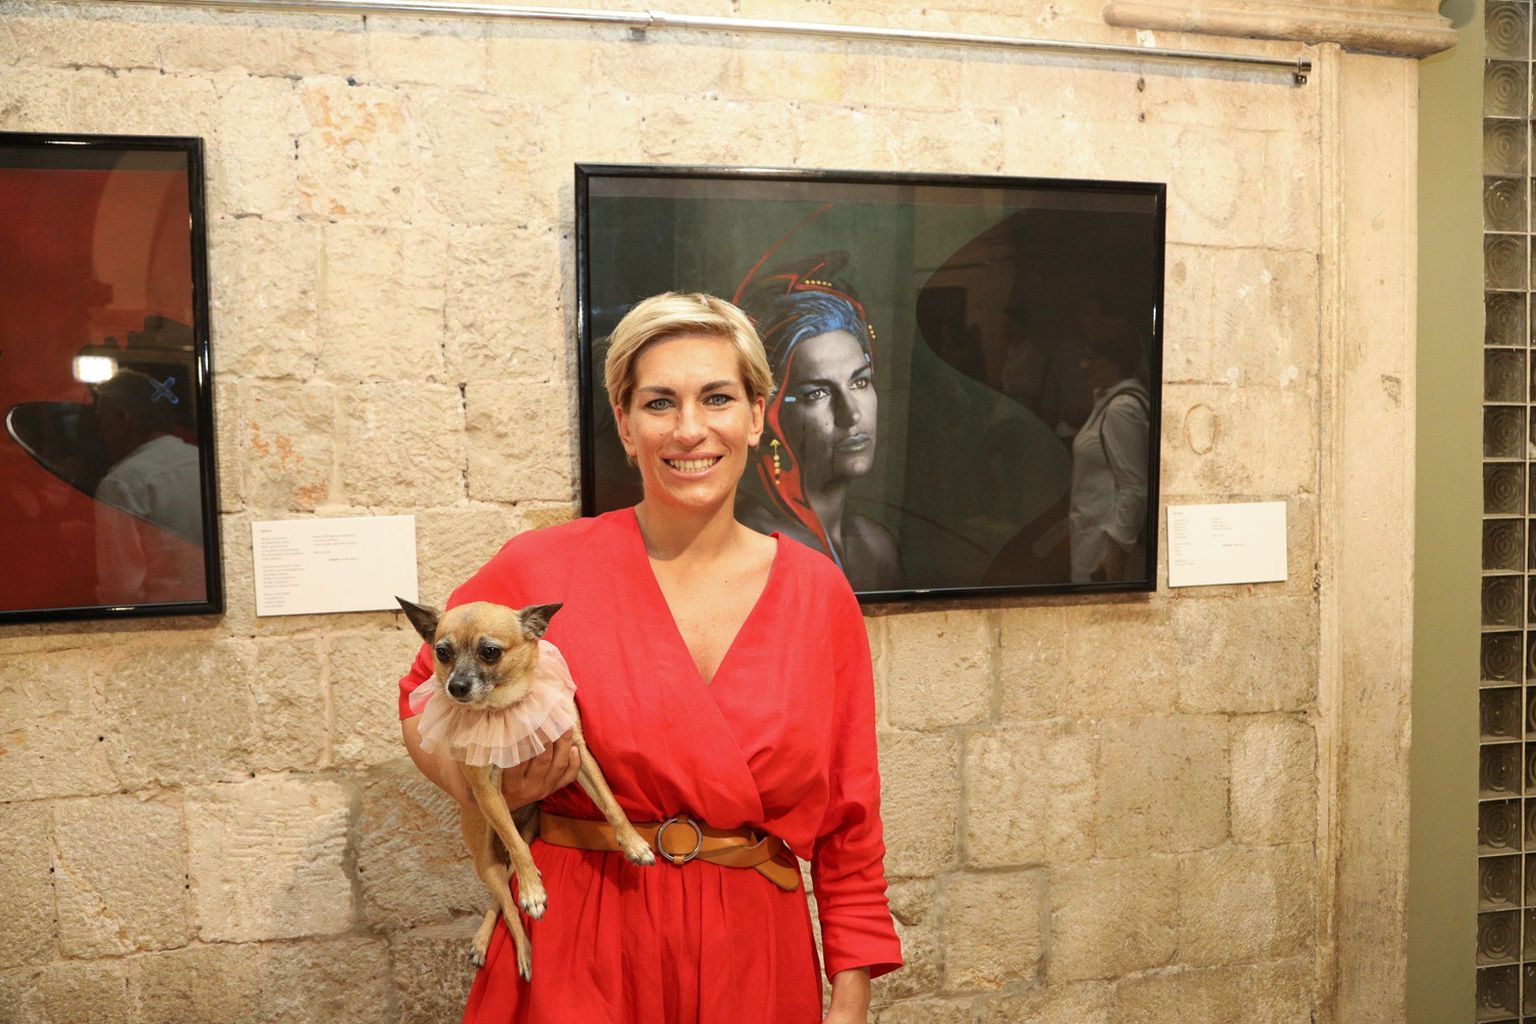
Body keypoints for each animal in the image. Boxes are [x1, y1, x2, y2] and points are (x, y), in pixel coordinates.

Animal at [399, 597, 654, 980]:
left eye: (490, 652)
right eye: (442, 652)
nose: (456, 686)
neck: (507, 706)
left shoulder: (581, 755)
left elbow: (611, 804)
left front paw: (635, 844)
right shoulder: (487, 789)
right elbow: (517, 850)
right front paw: (533, 892)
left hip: (519, 843)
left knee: (501, 896)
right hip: (487, 862)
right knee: (508, 903)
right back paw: (519, 950)